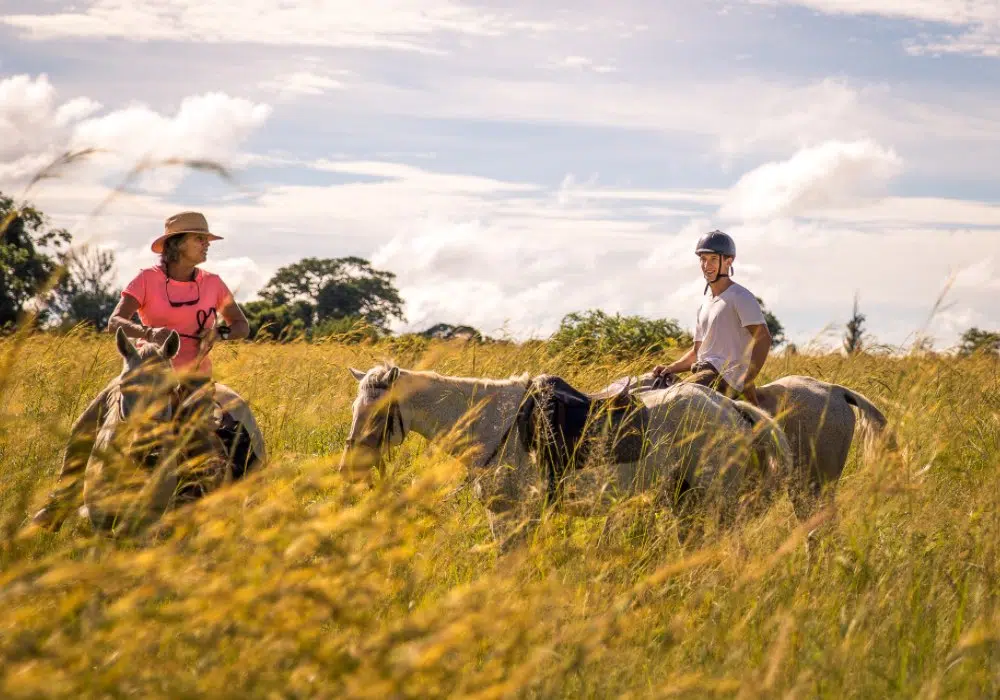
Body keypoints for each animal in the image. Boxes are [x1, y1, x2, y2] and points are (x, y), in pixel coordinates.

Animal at [340, 364, 792, 548]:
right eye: (354, 409)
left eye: (379, 413)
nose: (349, 471)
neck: (495, 424)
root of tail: (730, 408)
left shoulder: (515, 513)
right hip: (687, 498)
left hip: (716, 497)